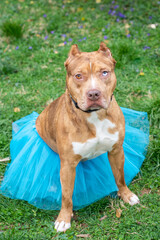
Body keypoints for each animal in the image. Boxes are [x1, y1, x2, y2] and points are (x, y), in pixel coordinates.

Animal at [35, 42, 139, 232]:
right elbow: (66, 195)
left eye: (104, 72)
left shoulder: (116, 151)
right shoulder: (67, 165)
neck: (94, 115)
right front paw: (64, 218)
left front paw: (126, 195)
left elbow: (120, 177)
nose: (94, 94)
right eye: (78, 76)